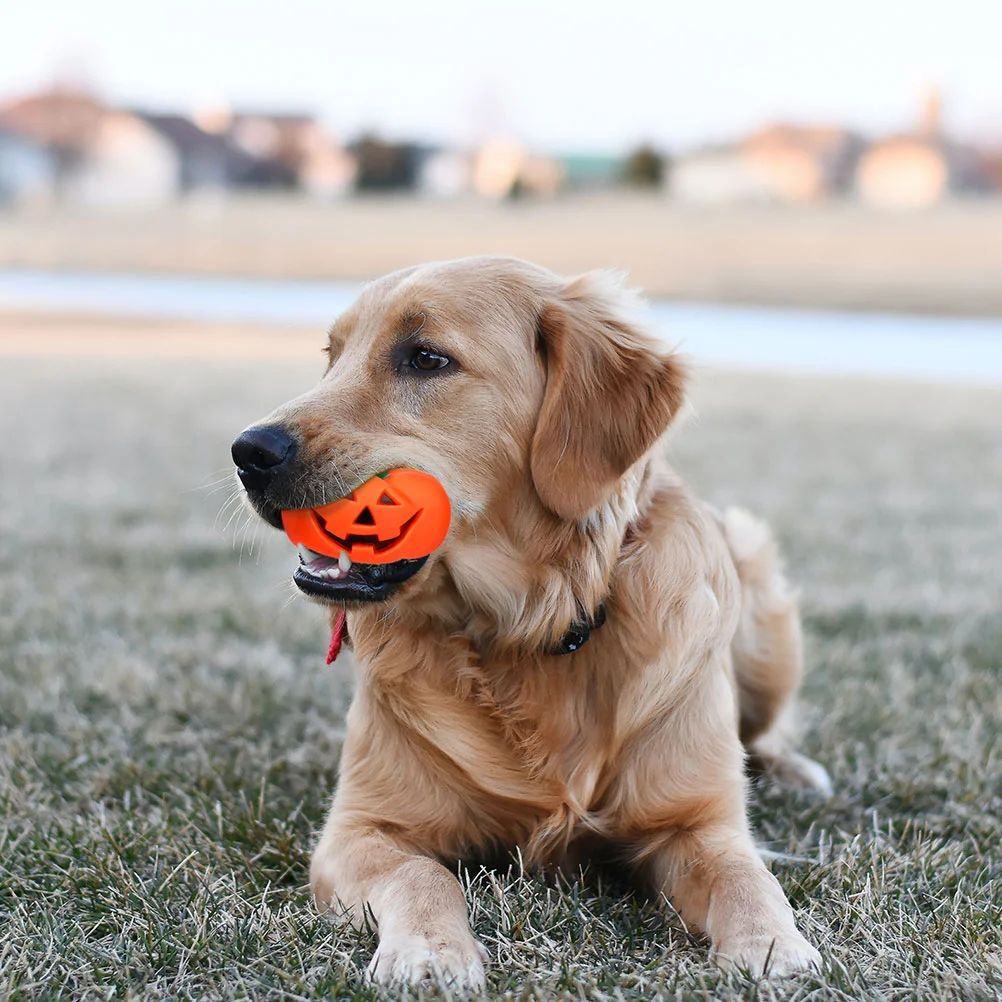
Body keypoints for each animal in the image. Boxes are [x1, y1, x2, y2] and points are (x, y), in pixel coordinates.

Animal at [232, 256, 829, 985]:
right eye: (333, 357)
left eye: (425, 358)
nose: (248, 452)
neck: (527, 629)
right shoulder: (361, 829)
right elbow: (423, 877)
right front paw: (431, 951)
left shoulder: (699, 822)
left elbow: (745, 876)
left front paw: (773, 946)